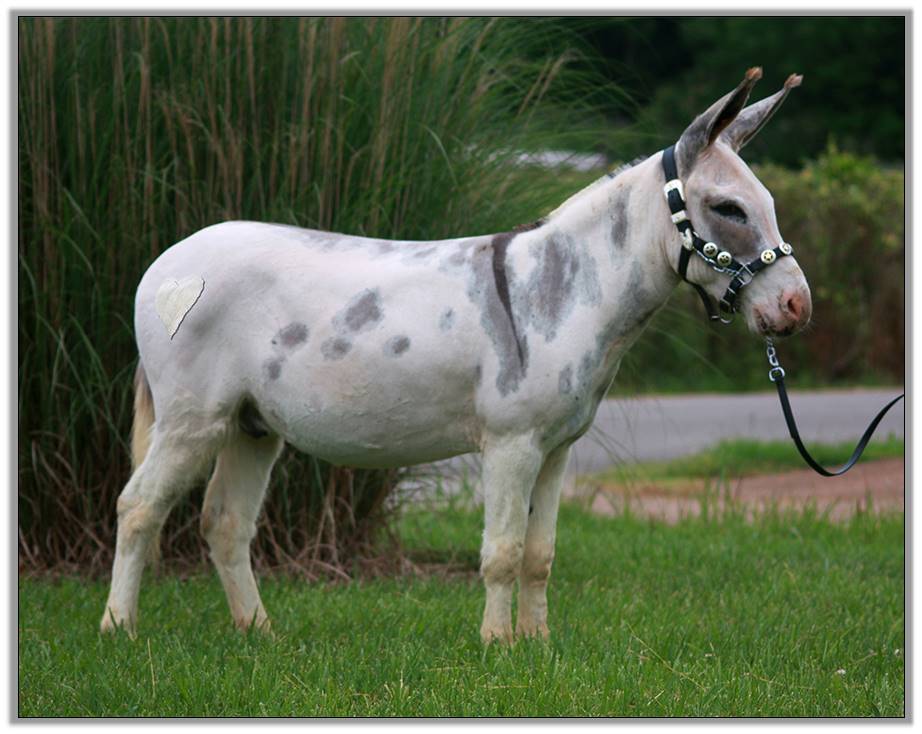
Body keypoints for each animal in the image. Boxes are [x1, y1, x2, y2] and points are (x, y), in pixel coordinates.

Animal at [101, 68, 811, 643]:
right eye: (727, 208)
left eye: (770, 205)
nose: (798, 308)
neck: (564, 290)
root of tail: (166, 261)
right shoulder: (511, 444)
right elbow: (501, 551)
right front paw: (497, 648)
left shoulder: (557, 449)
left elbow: (540, 554)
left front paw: (539, 645)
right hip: (192, 420)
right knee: (138, 509)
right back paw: (119, 630)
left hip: (251, 426)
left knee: (224, 523)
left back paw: (258, 634)